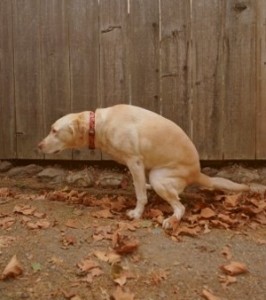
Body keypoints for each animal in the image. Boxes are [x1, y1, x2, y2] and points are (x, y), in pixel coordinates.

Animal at [38, 104, 249, 229]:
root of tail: (197, 173)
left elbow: (140, 195)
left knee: (180, 207)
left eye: (54, 130)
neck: (98, 125)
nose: (39, 146)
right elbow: (138, 187)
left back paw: (170, 220)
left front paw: (137, 213)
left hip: (159, 177)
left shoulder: (135, 162)